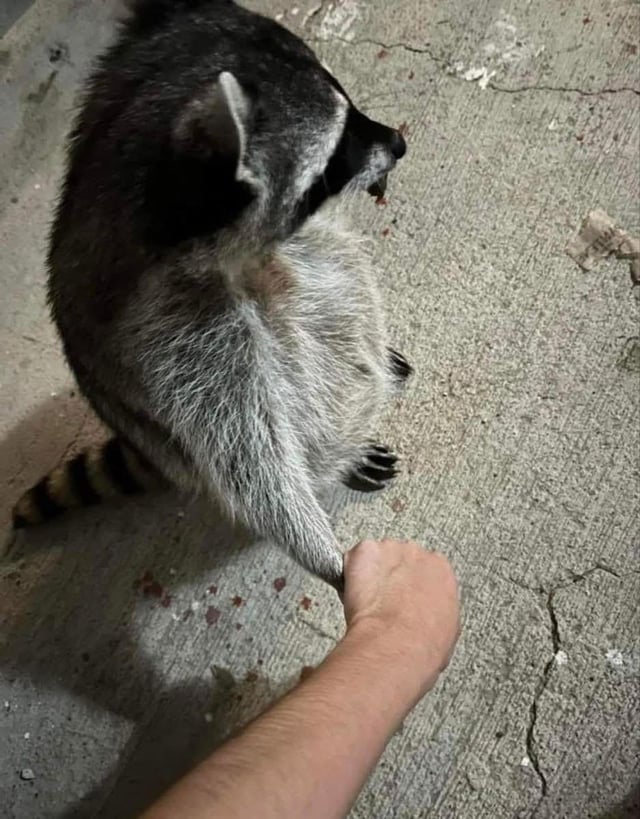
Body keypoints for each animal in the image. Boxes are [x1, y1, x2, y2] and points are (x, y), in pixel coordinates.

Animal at [12, 0, 411, 588]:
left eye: (350, 104)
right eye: (337, 149)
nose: (399, 143)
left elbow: (338, 276)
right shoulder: (172, 332)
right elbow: (248, 456)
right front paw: (328, 556)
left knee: (337, 268)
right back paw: (334, 455)